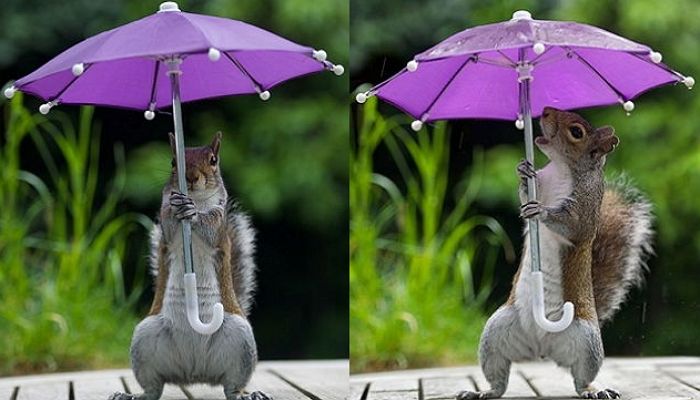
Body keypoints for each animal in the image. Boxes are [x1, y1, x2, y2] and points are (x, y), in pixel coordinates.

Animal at [108, 132, 268, 400]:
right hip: (144, 340)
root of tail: (194, 374)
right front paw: (177, 207)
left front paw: (192, 213)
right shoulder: (166, 225)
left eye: (213, 160)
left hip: (241, 342)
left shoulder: (219, 224)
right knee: (153, 389)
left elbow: (209, 227)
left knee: (231, 387)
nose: (191, 177)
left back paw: (246, 394)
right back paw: (130, 395)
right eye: (174, 162)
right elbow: (168, 223)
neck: (196, 200)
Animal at [456, 108, 652, 400]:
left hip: (586, 342)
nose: (546, 111)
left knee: (581, 377)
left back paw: (593, 390)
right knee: (499, 378)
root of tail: (542, 349)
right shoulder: (539, 186)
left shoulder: (584, 209)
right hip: (495, 333)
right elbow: (524, 196)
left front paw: (543, 212)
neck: (561, 168)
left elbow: (570, 225)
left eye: (576, 132)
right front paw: (522, 171)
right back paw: (483, 392)